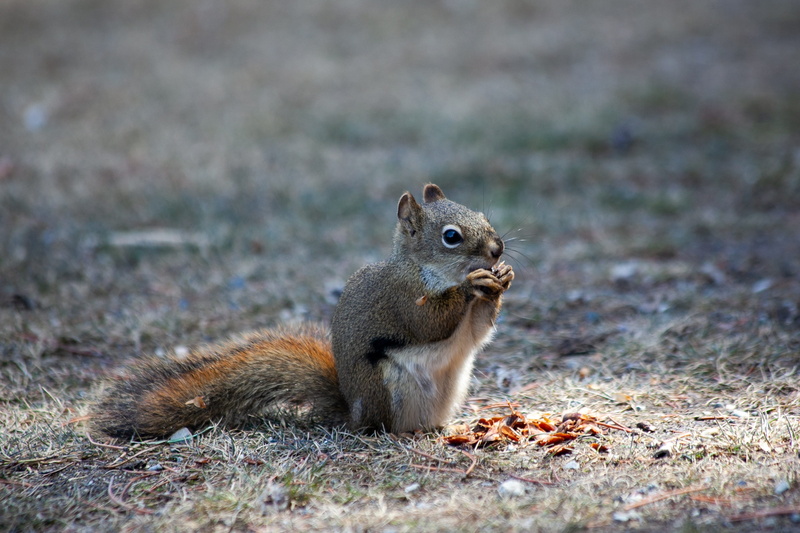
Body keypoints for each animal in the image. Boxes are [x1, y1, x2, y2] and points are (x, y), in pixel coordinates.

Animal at [93, 184, 514, 439]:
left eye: (482, 215)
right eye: (451, 236)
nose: (497, 249)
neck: (422, 268)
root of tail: (352, 412)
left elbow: (477, 330)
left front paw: (502, 279)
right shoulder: (402, 299)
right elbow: (430, 324)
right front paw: (473, 284)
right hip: (386, 389)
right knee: (384, 425)